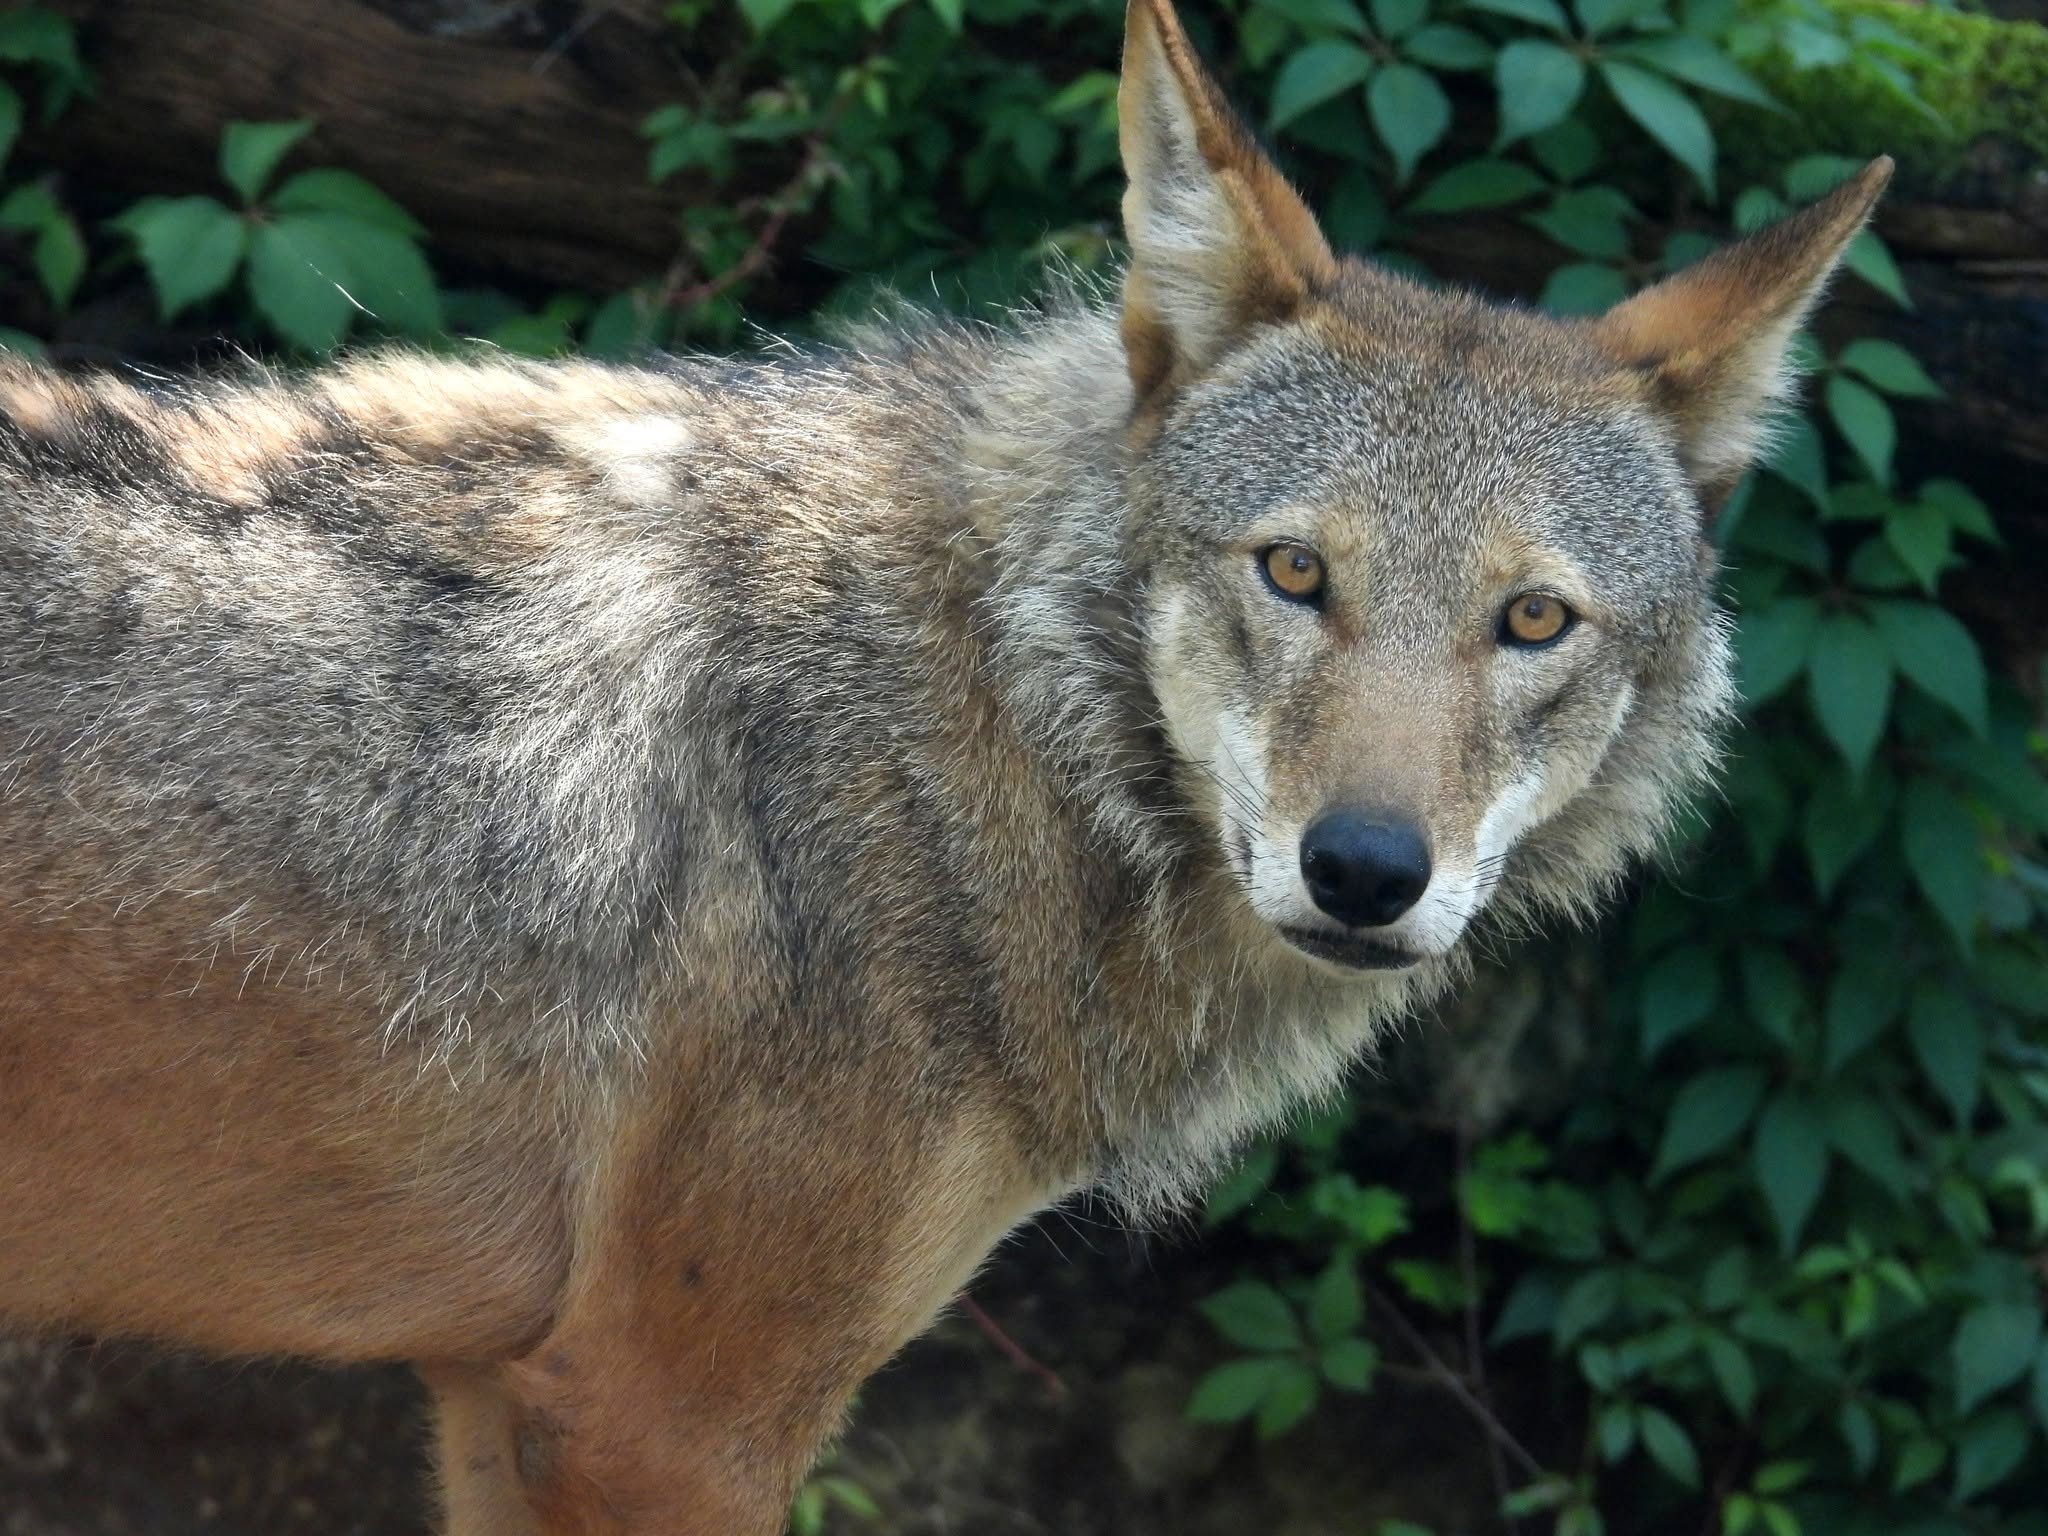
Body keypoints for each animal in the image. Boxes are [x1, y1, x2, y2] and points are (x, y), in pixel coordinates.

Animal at [0, 0, 1885, 1529]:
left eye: (1532, 621)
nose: (1362, 871)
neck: (981, 718)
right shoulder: (651, 1417)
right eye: (1294, 572)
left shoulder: (508, 1392)